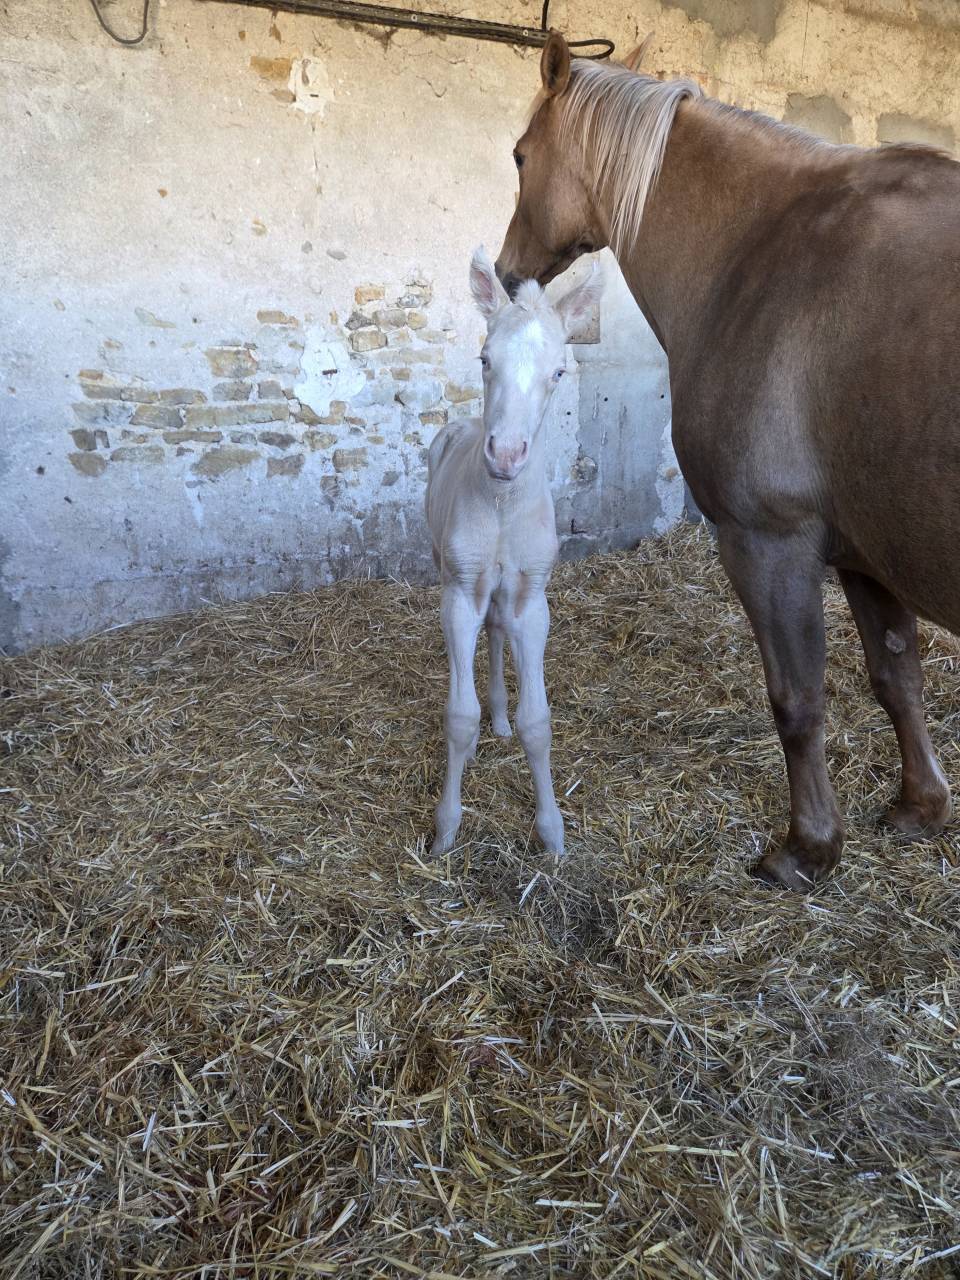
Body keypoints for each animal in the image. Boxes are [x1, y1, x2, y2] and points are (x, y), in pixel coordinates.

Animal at [425, 247, 600, 858]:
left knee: (497, 632)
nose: (504, 454)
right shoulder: (459, 591)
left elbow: (538, 723)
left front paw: (553, 835)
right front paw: (445, 830)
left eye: (558, 372)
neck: (501, 507)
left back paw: (499, 719)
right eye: (484, 359)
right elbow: (458, 717)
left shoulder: (531, 597)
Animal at [494, 32, 960, 889]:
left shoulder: (767, 544)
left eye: (519, 155)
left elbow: (797, 700)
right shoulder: (867, 558)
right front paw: (920, 805)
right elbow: (896, 678)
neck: (759, 247)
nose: (509, 273)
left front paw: (806, 849)